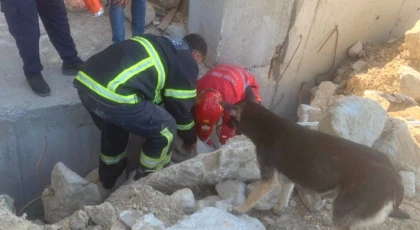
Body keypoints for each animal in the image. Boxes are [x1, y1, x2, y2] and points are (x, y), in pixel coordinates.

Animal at [220, 86, 410, 230]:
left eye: (231, 118)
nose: (226, 125)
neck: (266, 124)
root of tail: (394, 179)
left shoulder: (268, 179)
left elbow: (253, 197)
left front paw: (239, 209)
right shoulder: (288, 177)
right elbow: (284, 194)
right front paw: (279, 208)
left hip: (341, 213)